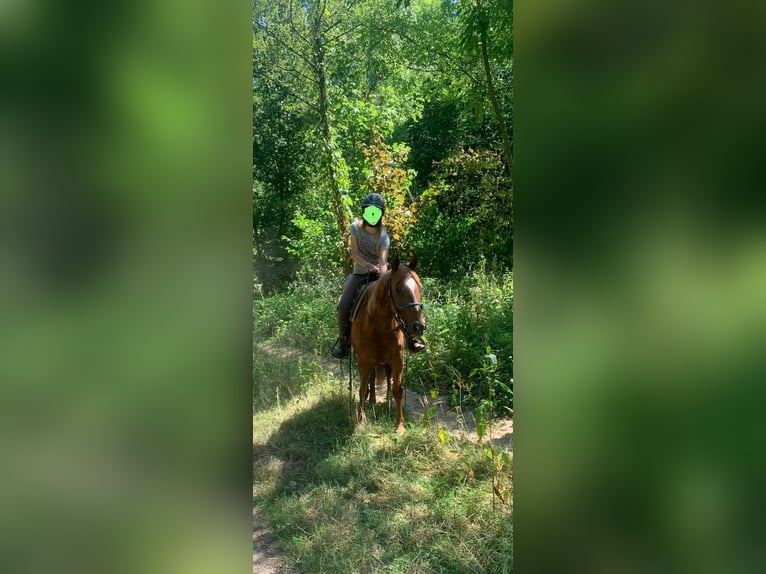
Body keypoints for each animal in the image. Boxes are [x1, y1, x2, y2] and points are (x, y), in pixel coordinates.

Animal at [352, 254, 428, 434]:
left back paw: (385, 401)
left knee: (385, 376)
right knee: (371, 380)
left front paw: (399, 425)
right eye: (398, 289)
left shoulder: (397, 358)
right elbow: (362, 389)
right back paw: (372, 400)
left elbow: (397, 389)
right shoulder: (363, 360)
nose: (419, 326)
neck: (380, 326)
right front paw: (360, 421)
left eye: (420, 288)